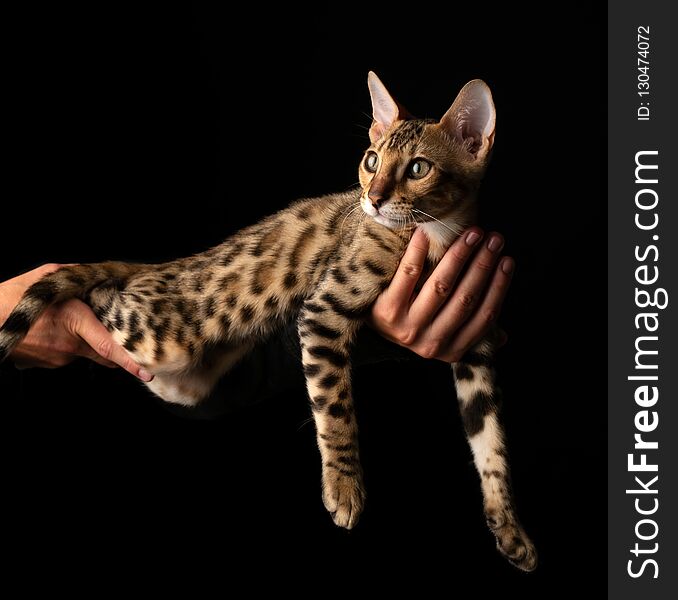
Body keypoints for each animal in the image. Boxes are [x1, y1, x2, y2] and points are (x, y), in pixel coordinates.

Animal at [1, 72, 540, 568]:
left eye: (419, 168)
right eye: (371, 160)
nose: (373, 198)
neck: (436, 238)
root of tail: (170, 266)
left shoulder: (475, 345)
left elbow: (491, 443)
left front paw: (509, 526)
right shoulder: (324, 310)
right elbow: (335, 409)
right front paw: (344, 487)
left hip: (184, 381)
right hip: (162, 335)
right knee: (104, 295)